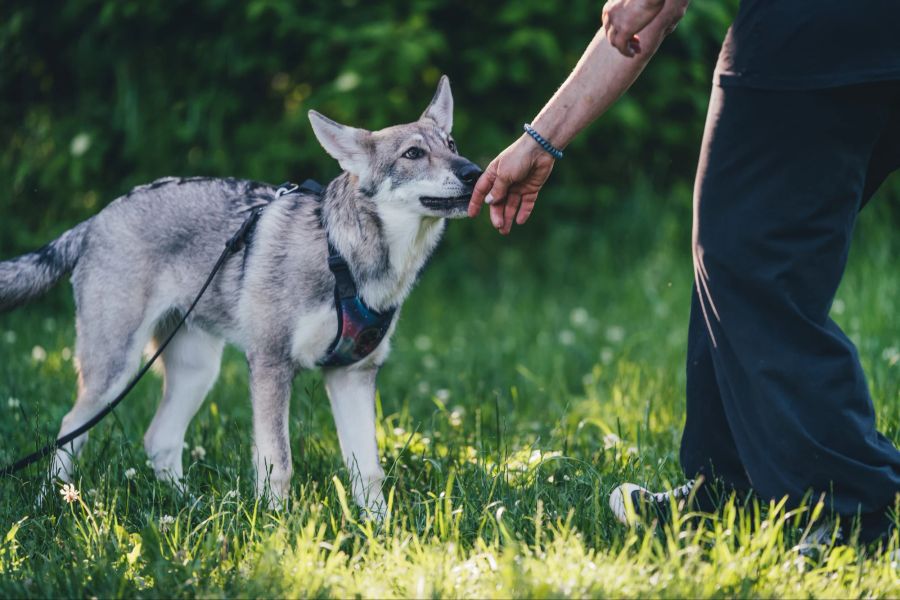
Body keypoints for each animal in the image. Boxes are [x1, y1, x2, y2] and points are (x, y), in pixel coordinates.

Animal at [0, 75, 478, 516]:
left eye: (452, 144)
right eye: (413, 154)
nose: (473, 171)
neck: (341, 256)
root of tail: (97, 217)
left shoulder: (353, 374)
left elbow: (368, 469)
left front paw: (379, 532)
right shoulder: (270, 365)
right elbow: (279, 464)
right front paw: (278, 531)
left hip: (196, 372)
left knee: (159, 440)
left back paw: (190, 509)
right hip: (113, 373)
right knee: (69, 431)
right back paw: (52, 503)